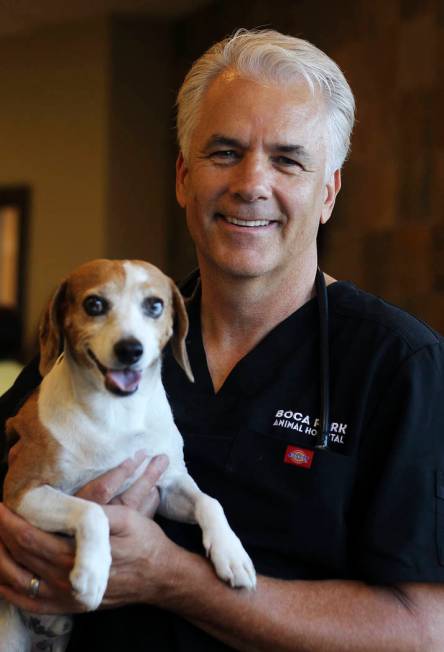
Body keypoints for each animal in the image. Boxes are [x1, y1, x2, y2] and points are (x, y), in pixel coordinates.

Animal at [0, 260, 255, 652]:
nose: (130, 349)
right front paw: (92, 572)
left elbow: (209, 501)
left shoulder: (167, 485)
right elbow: (92, 512)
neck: (114, 414)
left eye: (154, 305)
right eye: (94, 305)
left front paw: (231, 552)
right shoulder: (21, 488)